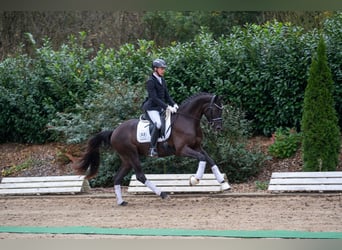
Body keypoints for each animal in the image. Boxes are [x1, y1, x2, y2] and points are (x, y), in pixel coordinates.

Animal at [75, 92, 230, 205]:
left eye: (221, 110)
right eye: (214, 109)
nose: (218, 128)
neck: (187, 120)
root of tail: (114, 131)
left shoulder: (197, 146)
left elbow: (210, 160)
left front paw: (224, 184)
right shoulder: (182, 150)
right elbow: (203, 158)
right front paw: (194, 179)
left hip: (126, 159)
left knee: (118, 177)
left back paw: (121, 202)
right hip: (132, 155)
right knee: (140, 176)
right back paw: (163, 194)